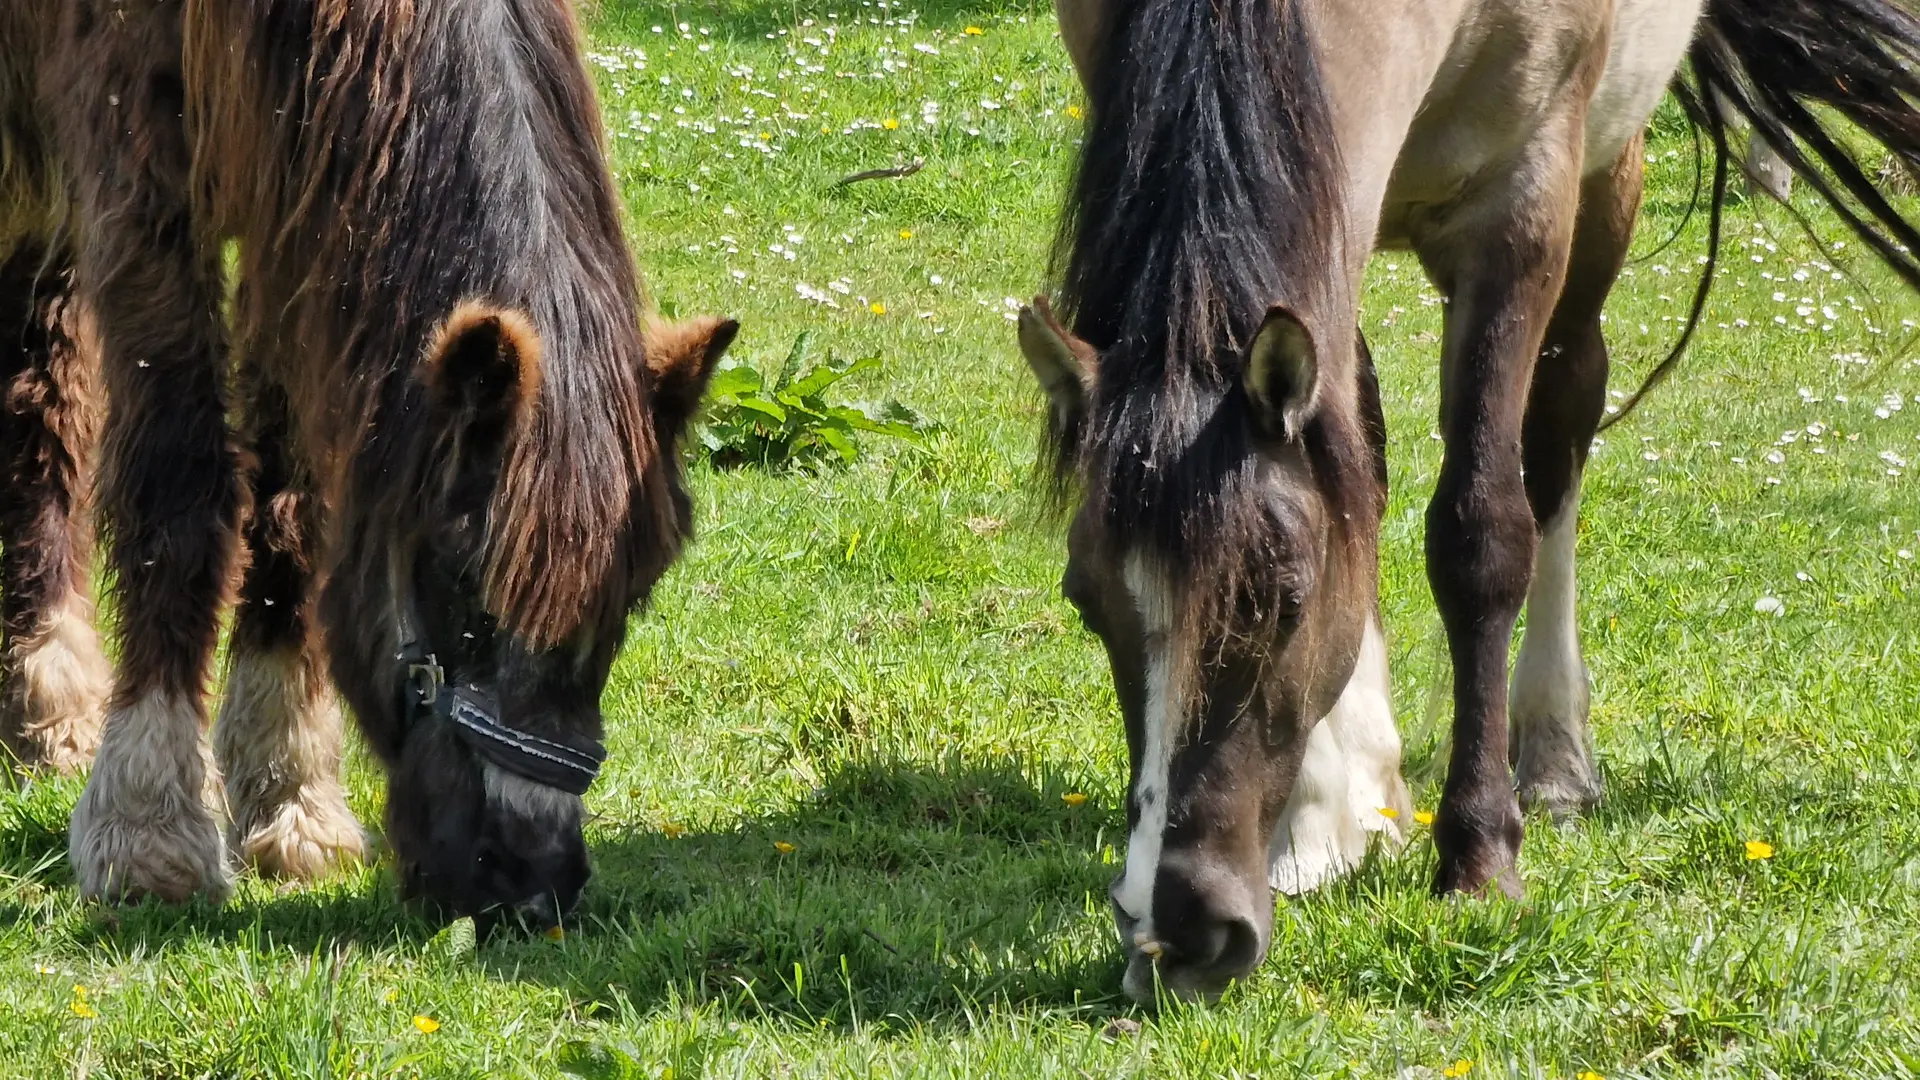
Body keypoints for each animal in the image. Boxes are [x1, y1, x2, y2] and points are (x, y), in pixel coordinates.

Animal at [1, 0, 733, 930]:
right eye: (467, 592)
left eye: (630, 601)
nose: (533, 884)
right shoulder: (139, 169)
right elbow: (180, 480)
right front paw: (150, 826)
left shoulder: (290, 194)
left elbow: (292, 503)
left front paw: (289, 797)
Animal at [1029, 0, 1920, 999]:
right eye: (1084, 601)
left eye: (1285, 603)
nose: (1176, 935)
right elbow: (1352, 486)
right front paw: (1328, 822)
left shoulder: (1520, 213)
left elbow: (1482, 536)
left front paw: (1481, 860)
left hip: (1602, 182)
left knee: (1561, 431)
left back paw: (1556, 753)